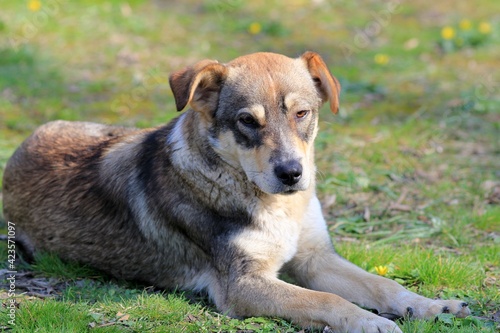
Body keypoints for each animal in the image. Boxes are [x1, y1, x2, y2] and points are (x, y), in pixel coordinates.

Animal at [2, 50, 468, 330]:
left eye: (302, 113)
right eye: (247, 121)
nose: (292, 173)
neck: (274, 206)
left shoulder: (315, 259)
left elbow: (381, 286)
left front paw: (431, 306)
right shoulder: (243, 284)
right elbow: (327, 301)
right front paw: (371, 323)